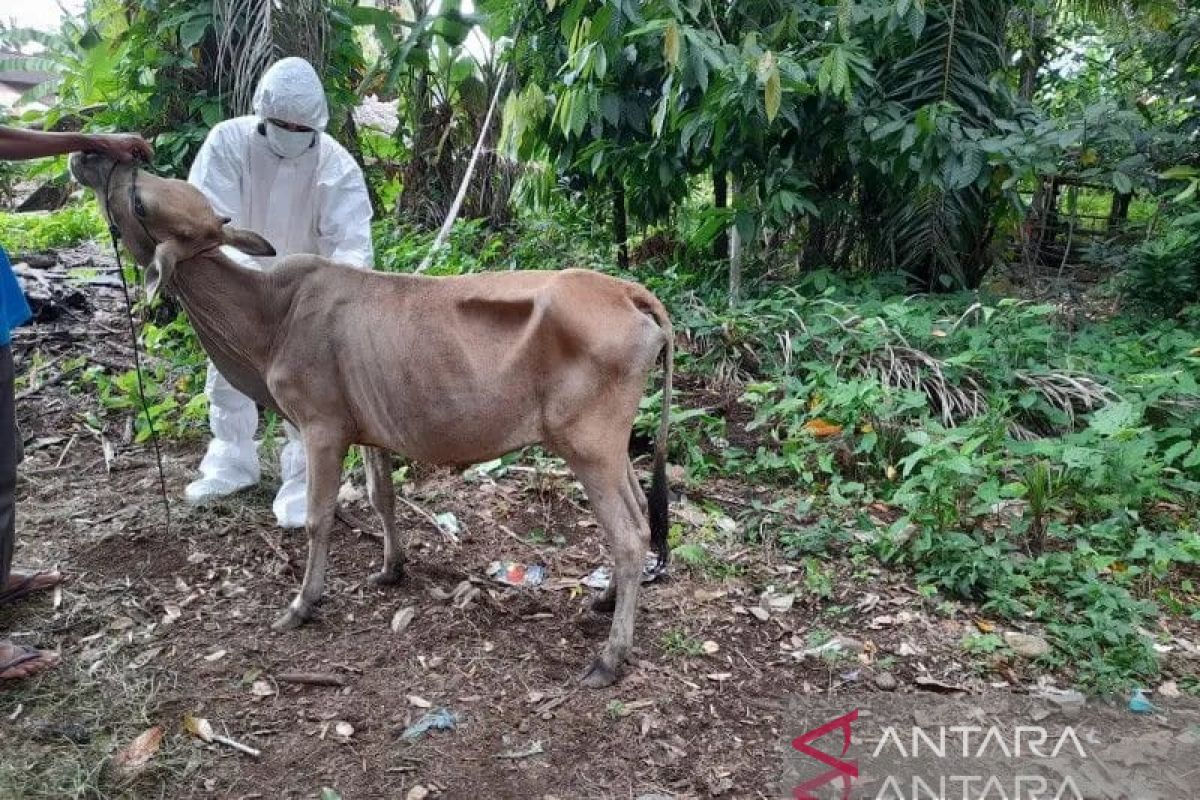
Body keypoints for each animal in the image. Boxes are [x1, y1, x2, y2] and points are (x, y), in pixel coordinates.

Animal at [70, 151, 676, 690]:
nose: (89, 156)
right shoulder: (365, 428)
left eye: (140, 201)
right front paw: (391, 569)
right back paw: (605, 599)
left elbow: (318, 518)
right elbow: (381, 496)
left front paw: (303, 603)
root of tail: (627, 291)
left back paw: (610, 657)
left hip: (588, 445)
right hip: (611, 448)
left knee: (628, 535)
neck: (270, 315)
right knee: (641, 515)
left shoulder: (320, 427)